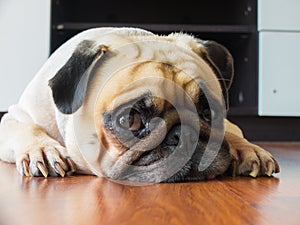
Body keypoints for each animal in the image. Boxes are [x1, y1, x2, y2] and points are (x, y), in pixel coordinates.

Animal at [0, 27, 280, 183]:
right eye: (130, 120)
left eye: (210, 112)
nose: (184, 135)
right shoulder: (15, 118)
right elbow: (27, 128)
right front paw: (43, 150)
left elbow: (233, 133)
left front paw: (247, 149)